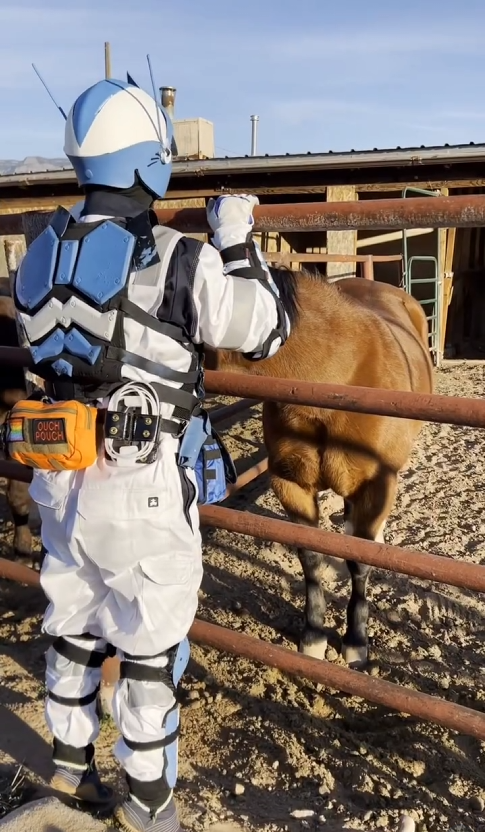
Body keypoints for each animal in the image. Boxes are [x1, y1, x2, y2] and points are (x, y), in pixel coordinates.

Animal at [204, 267, 434, 668]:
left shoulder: (376, 487)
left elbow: (359, 561)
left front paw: (356, 642)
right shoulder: (290, 483)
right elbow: (310, 556)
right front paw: (313, 636)